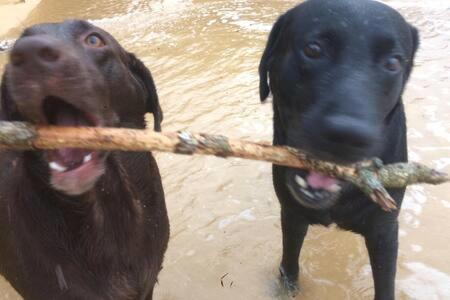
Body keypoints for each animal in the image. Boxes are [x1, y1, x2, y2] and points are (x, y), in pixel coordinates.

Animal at [258, 1, 420, 298]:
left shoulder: (384, 229)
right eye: (313, 49)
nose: (348, 135)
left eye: (393, 62)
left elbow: (385, 284)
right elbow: (289, 262)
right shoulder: (291, 213)